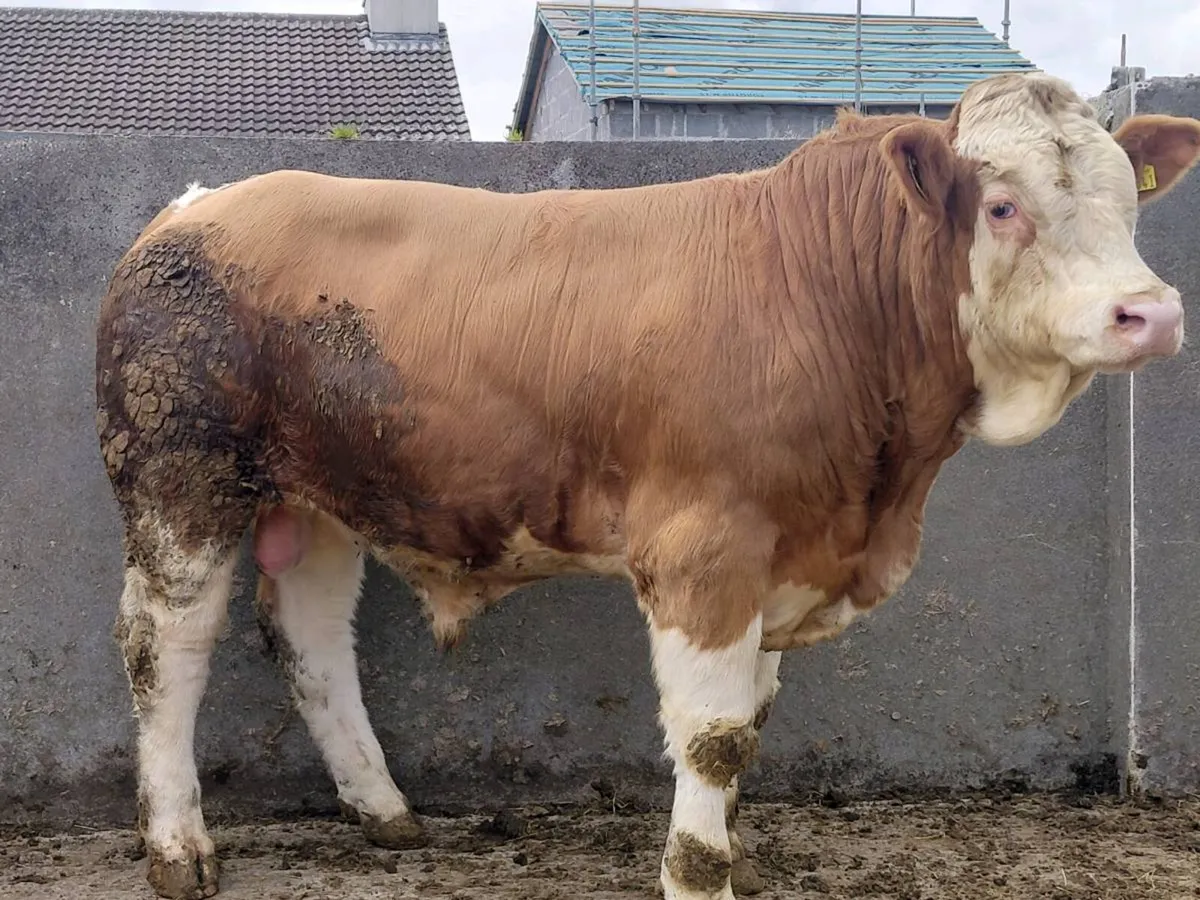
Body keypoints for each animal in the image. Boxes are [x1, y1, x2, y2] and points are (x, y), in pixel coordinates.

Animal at [94, 71, 1200, 900]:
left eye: (1128, 199)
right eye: (1005, 205)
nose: (1149, 312)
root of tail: (200, 203)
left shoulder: (783, 556)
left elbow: (753, 721)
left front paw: (736, 857)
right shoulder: (707, 550)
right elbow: (713, 738)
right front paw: (698, 873)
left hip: (321, 493)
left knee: (313, 636)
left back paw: (387, 813)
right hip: (178, 479)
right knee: (165, 649)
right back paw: (179, 849)